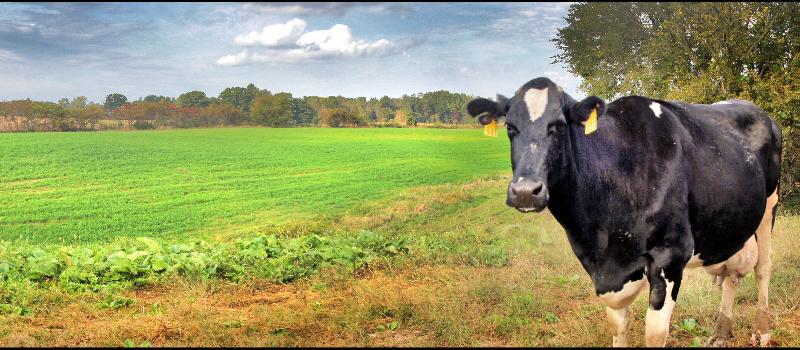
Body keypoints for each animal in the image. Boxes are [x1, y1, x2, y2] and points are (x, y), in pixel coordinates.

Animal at [466, 77, 784, 348]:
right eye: (510, 128)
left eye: (558, 125)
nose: (525, 191)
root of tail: (753, 108)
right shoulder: (607, 272)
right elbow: (618, 325)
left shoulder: (671, 254)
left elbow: (655, 333)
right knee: (732, 274)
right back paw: (720, 333)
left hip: (770, 203)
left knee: (763, 267)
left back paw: (762, 330)